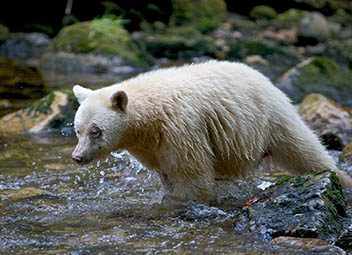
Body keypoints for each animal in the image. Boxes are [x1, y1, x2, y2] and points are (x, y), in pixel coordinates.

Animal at [71, 60, 350, 202]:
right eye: (77, 129)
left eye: (96, 131)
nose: (77, 156)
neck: (151, 115)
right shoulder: (151, 146)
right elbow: (167, 173)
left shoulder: (182, 128)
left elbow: (190, 173)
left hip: (270, 117)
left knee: (304, 150)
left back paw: (339, 179)